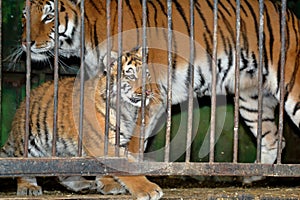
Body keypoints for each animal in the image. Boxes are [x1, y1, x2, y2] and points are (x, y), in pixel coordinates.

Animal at [0, 47, 164, 200]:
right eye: (131, 76)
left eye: (147, 74)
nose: (149, 92)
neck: (127, 109)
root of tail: (23, 103)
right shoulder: (100, 143)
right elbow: (126, 166)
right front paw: (149, 190)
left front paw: (107, 184)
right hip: (30, 143)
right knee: (22, 166)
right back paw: (29, 187)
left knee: (64, 170)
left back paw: (84, 184)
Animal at [17, 0, 298, 184]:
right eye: (24, 16)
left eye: (49, 17)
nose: (25, 43)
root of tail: (291, 15)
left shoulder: (148, 95)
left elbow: (132, 141)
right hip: (251, 98)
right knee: (274, 139)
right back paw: (252, 175)